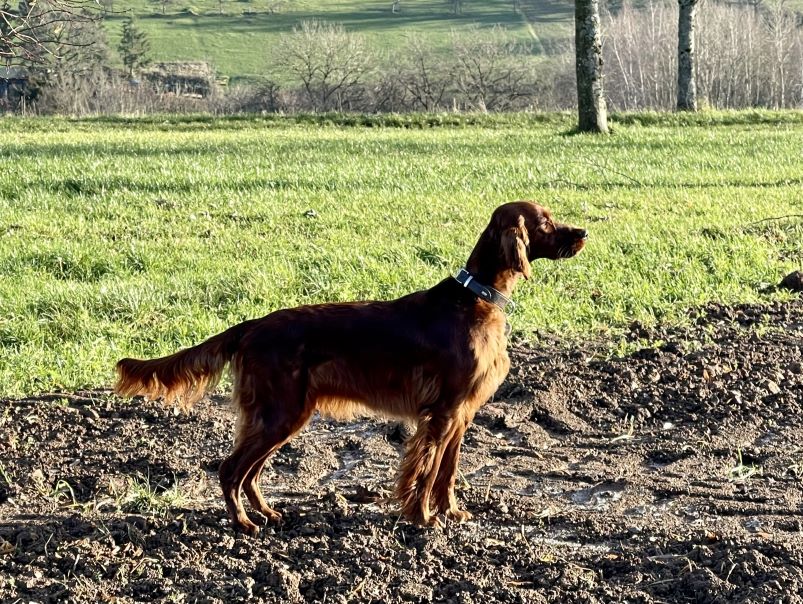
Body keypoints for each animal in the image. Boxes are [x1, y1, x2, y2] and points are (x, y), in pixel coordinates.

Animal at [115, 201, 587, 535]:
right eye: (545, 222)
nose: (583, 232)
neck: (476, 298)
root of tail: (252, 326)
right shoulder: (443, 412)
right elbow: (426, 469)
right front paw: (423, 519)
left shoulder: (462, 414)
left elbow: (448, 472)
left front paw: (451, 512)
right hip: (279, 411)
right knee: (231, 469)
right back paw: (244, 524)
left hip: (284, 415)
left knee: (250, 472)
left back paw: (267, 513)